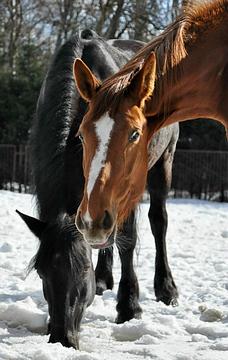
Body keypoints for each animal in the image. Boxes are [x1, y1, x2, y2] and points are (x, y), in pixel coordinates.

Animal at [17, 29, 178, 350]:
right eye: (41, 271)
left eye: (82, 270)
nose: (62, 338)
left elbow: (128, 239)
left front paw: (129, 306)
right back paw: (106, 278)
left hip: (164, 161)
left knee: (158, 221)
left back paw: (166, 288)